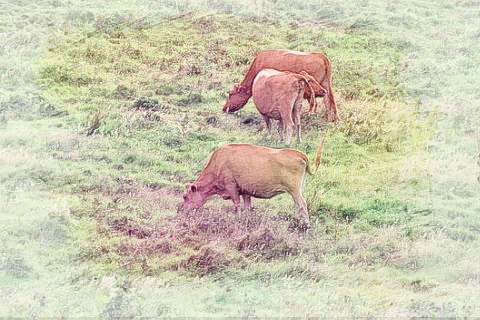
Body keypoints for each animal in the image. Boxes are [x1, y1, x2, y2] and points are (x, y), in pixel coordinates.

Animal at [179, 144, 312, 226]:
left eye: (185, 197)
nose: (182, 210)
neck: (219, 163)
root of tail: (299, 154)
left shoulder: (232, 188)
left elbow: (237, 205)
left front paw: (237, 219)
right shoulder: (245, 192)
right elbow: (247, 207)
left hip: (294, 190)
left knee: (302, 204)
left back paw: (306, 225)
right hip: (294, 191)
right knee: (297, 205)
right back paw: (295, 221)